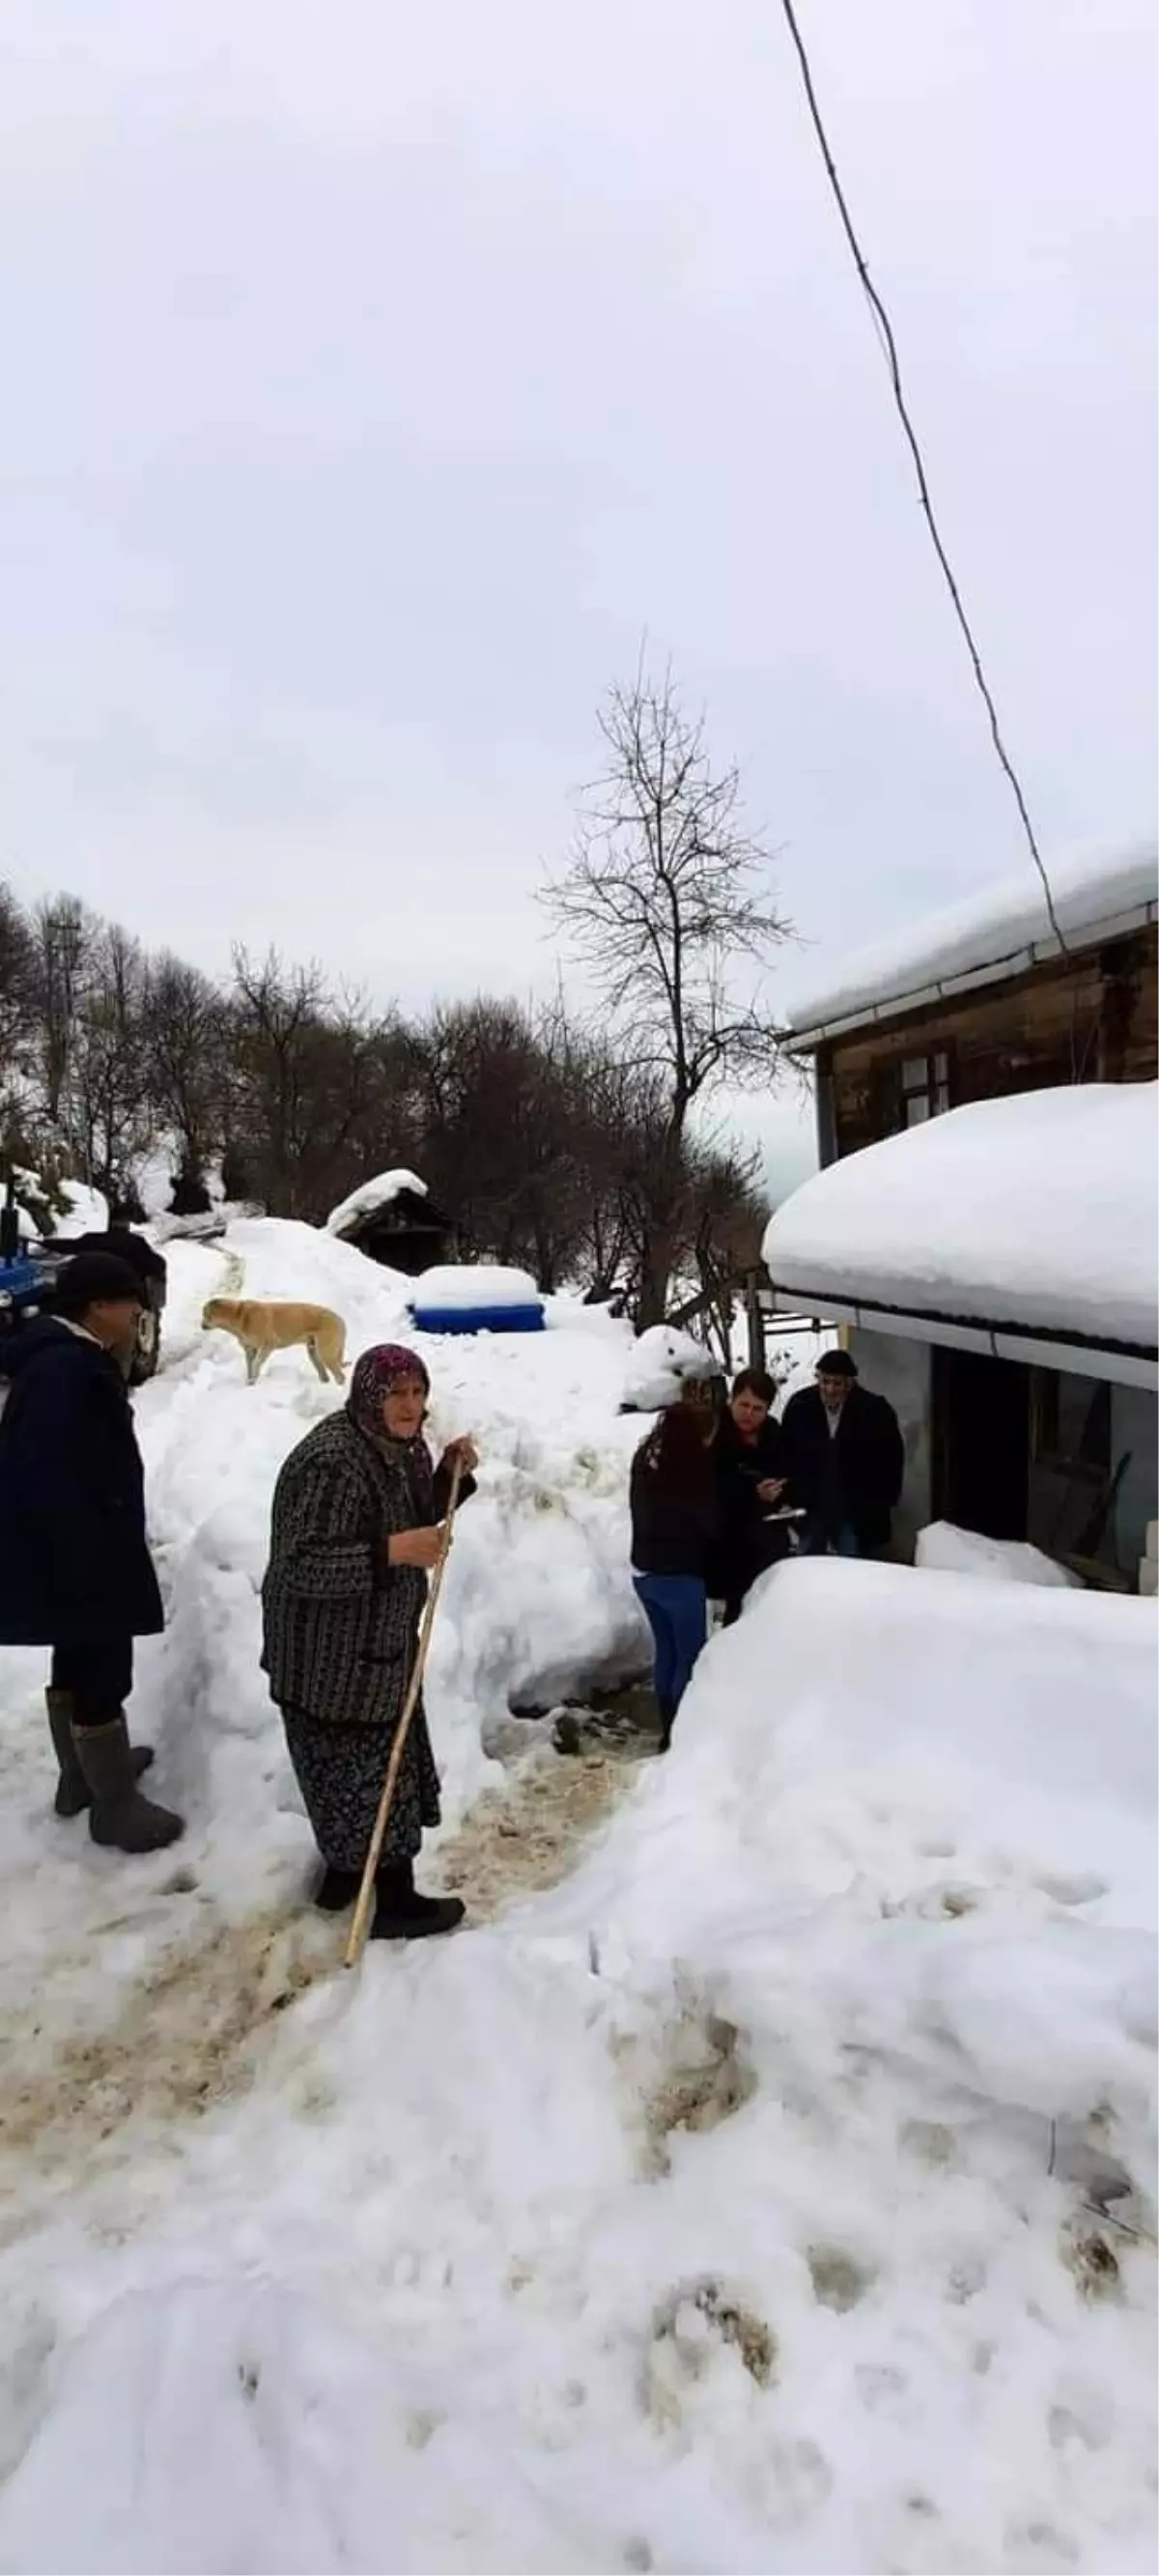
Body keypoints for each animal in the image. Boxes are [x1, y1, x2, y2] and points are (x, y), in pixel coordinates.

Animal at [201, 1298, 345, 1380]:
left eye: (205, 1314)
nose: (201, 1325)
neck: (239, 1316)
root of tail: (339, 1320)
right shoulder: (250, 1350)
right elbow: (250, 1366)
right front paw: (250, 1383)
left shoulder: (269, 1344)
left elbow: (256, 1364)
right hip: (314, 1351)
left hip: (326, 1352)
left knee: (340, 1376)